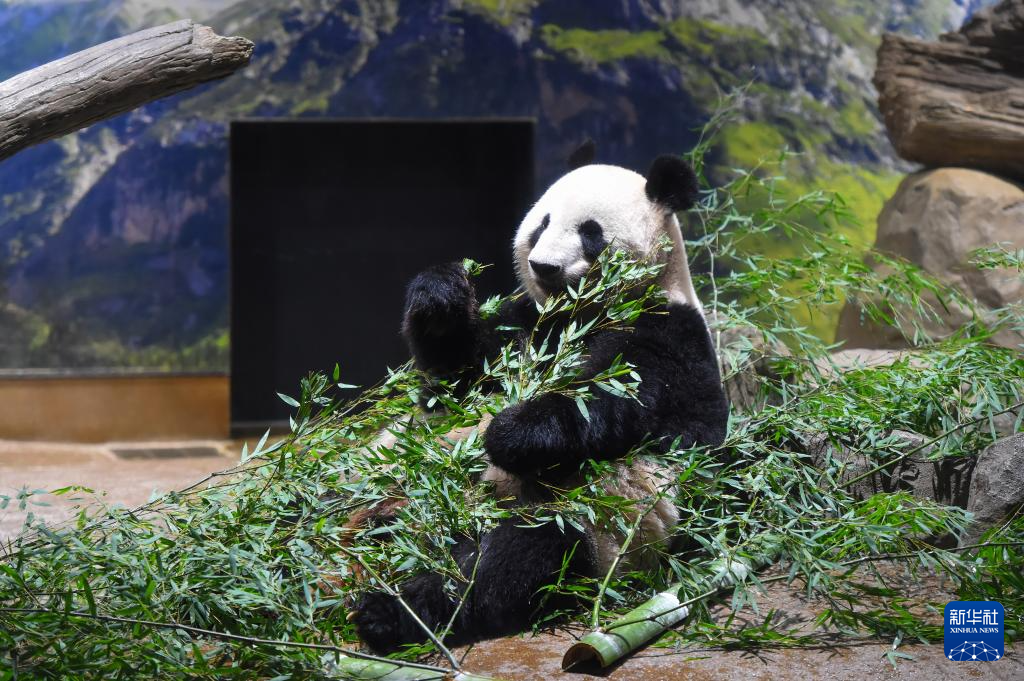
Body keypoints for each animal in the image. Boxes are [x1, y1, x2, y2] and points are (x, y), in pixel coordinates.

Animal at [352, 142, 729, 655]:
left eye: (591, 233)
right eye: (542, 224)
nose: (543, 266)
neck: (580, 313)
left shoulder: (666, 336)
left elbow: (605, 404)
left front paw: (506, 433)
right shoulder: (527, 324)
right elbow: (457, 379)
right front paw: (440, 295)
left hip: (594, 526)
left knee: (502, 564)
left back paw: (391, 612)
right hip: (381, 470)